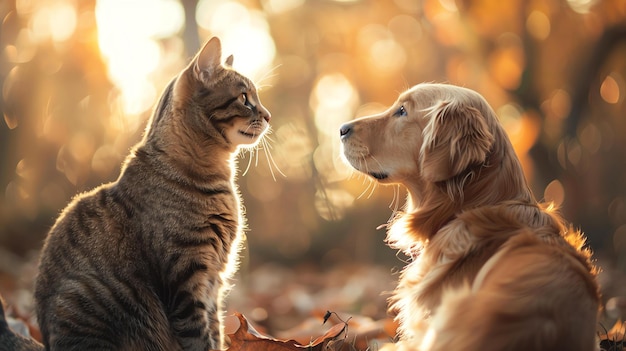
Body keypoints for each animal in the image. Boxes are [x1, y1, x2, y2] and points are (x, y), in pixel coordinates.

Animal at [29, 37, 268, 350]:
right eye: (244, 97)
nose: (268, 115)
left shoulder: (213, 283)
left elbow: (214, 331)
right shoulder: (186, 277)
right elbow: (199, 337)